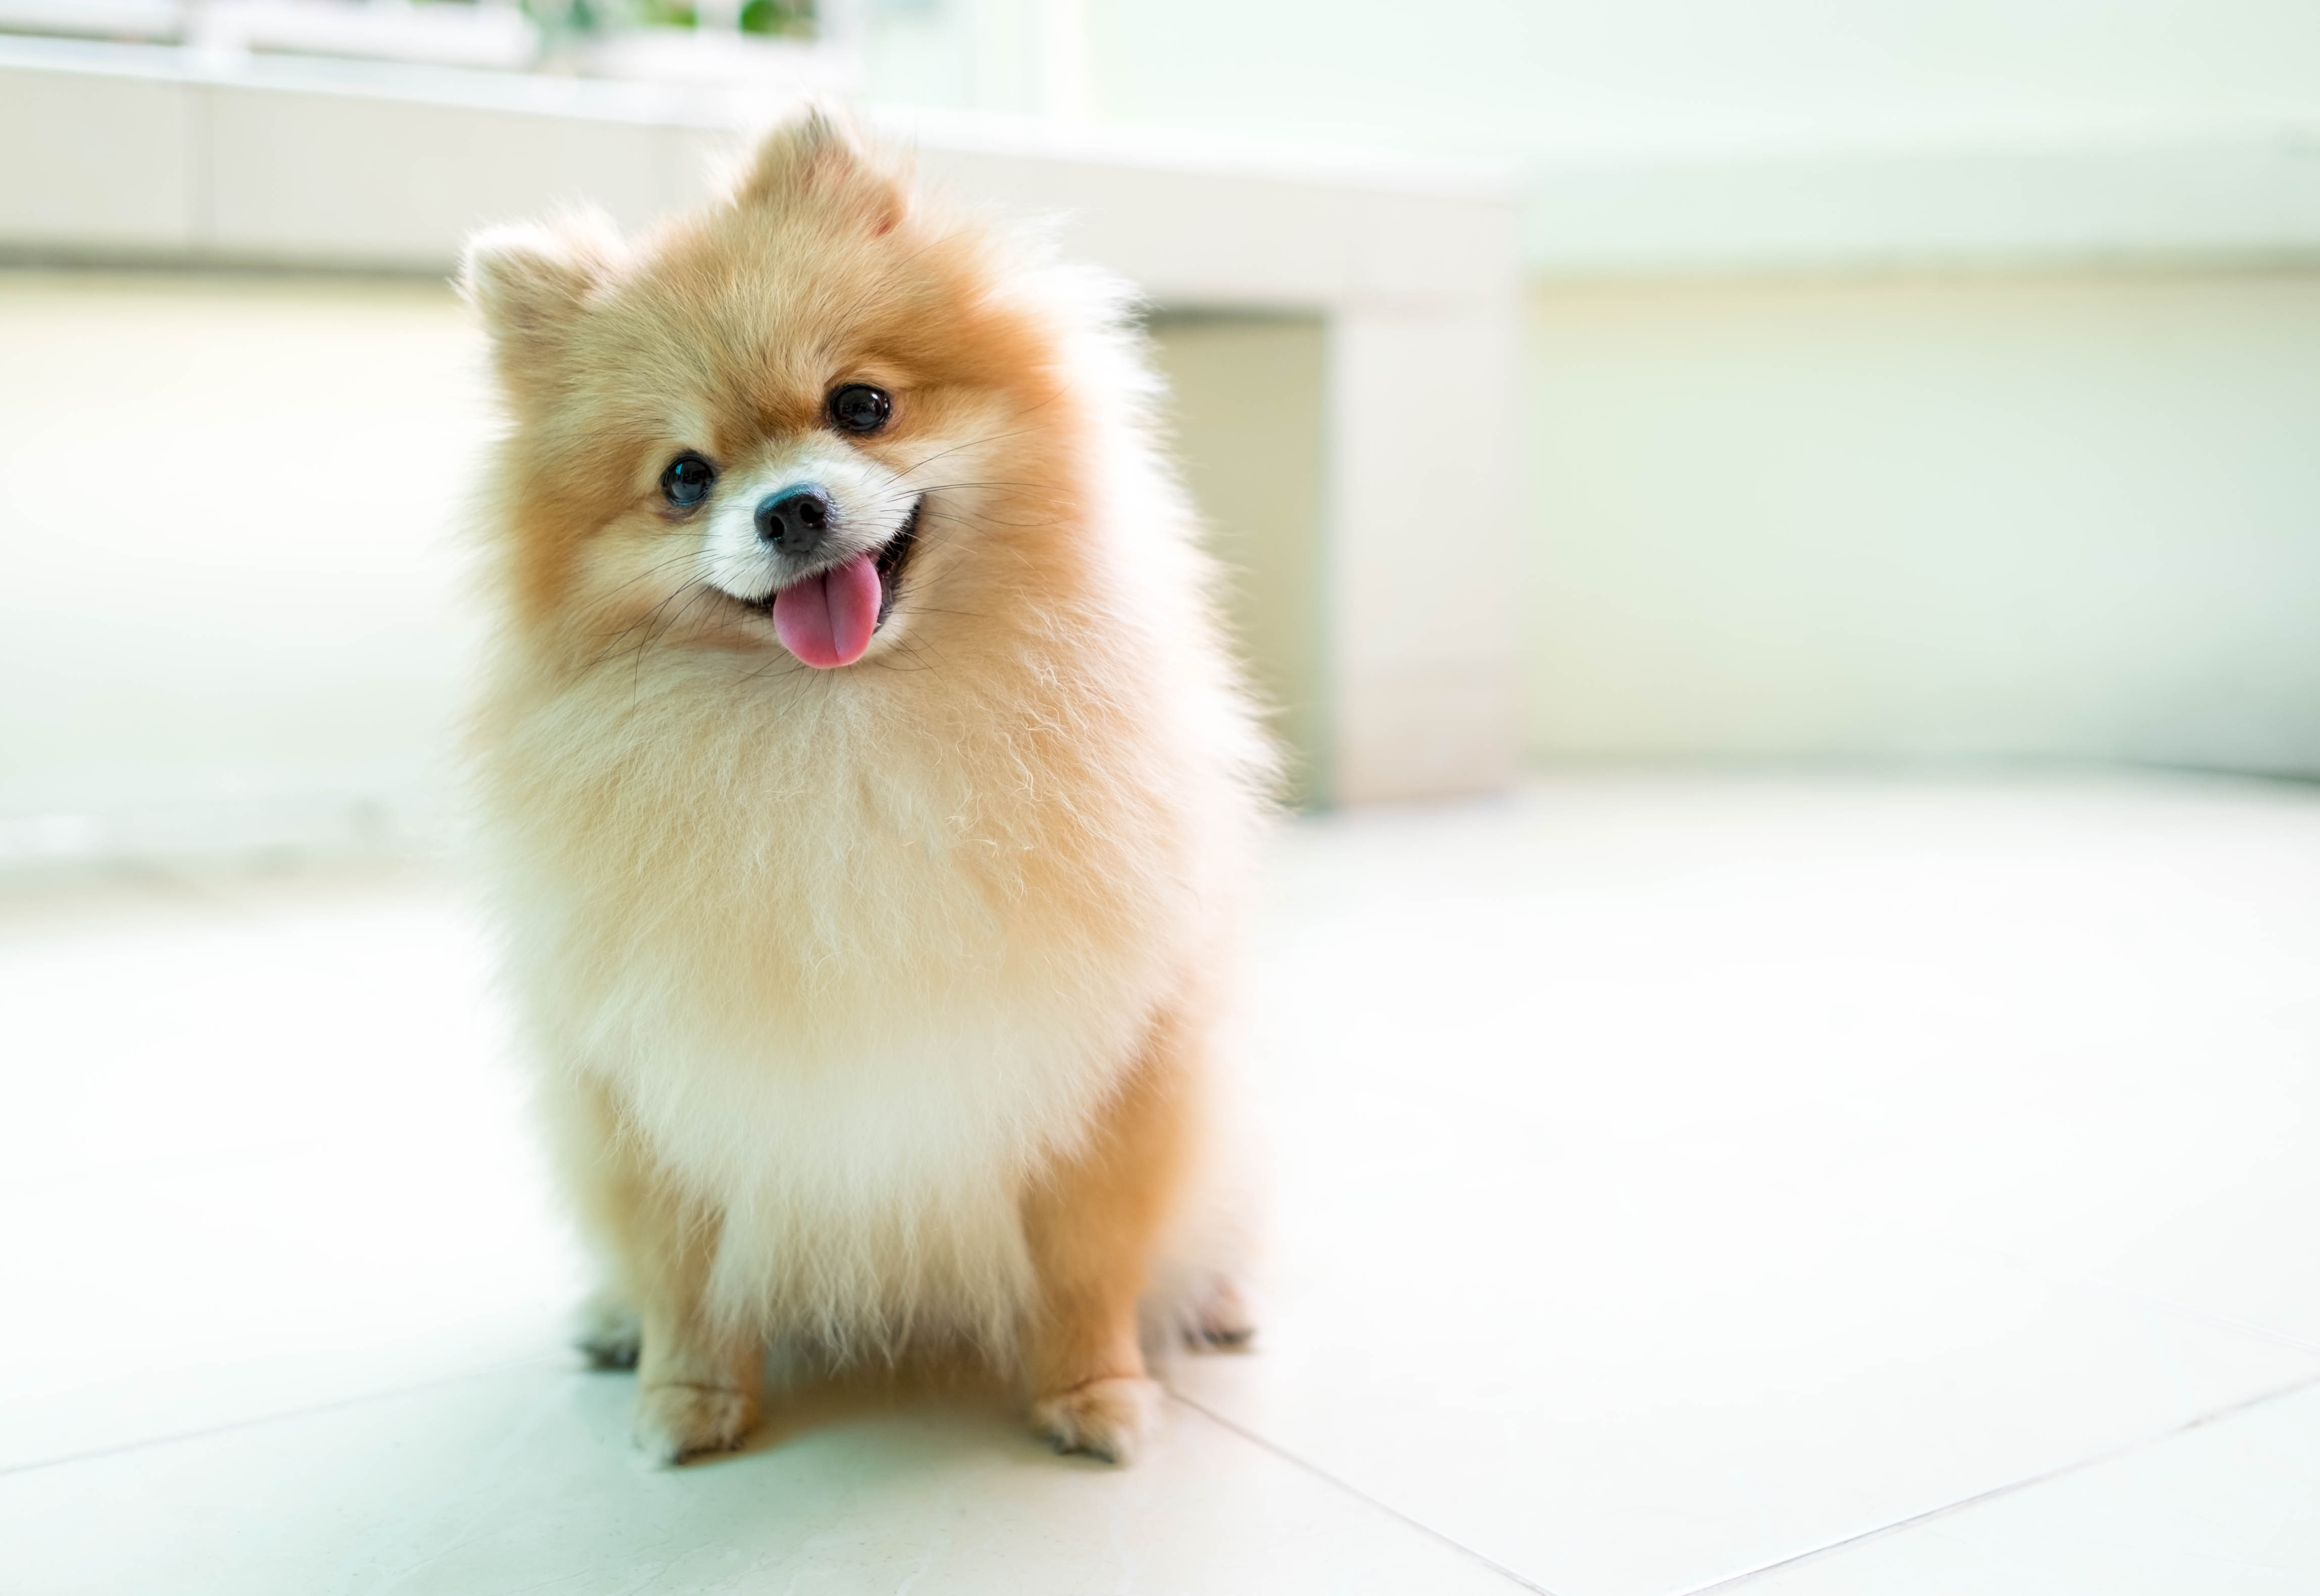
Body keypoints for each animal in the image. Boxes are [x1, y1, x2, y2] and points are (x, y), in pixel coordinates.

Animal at [461, 109, 1281, 1457]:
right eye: (684, 478)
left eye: (861, 405)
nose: (791, 507)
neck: (843, 739)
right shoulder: (650, 1080)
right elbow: (681, 1264)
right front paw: (686, 1397)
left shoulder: (1103, 1057)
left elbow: (1086, 1255)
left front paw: (1093, 1390)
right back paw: (613, 1325)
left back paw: (1211, 1301)